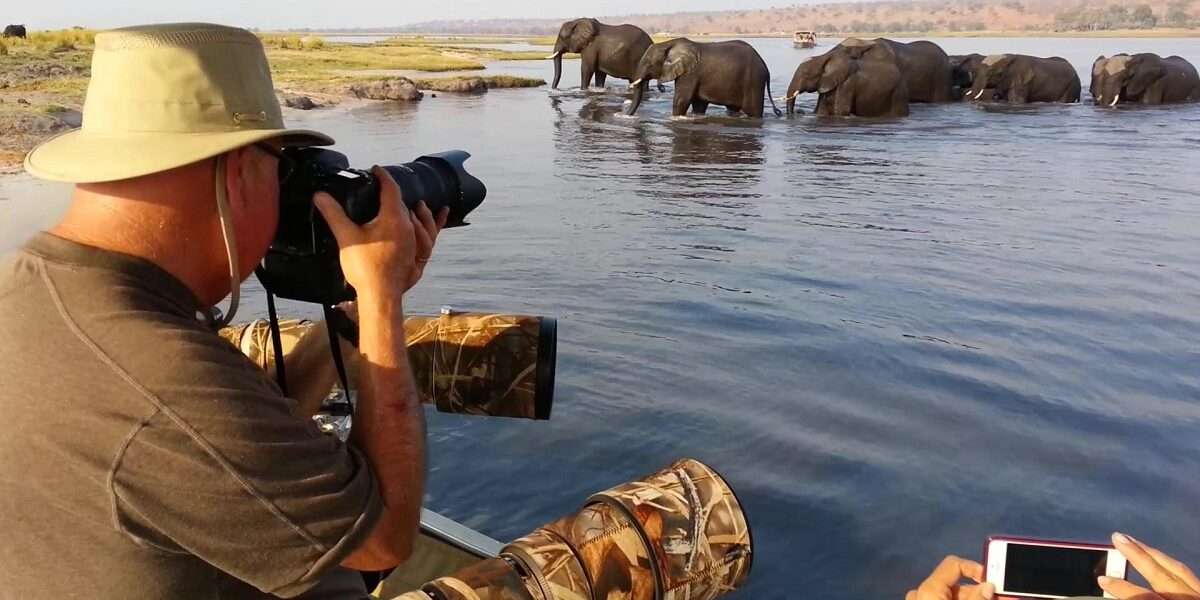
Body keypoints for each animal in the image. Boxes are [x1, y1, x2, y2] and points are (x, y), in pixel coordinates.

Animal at [624, 38, 782, 118]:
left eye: (648, 63)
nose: (625, 114)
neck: (668, 44)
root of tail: (766, 68)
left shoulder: (690, 73)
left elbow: (681, 101)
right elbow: (698, 105)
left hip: (753, 81)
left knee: (753, 112)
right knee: (733, 109)